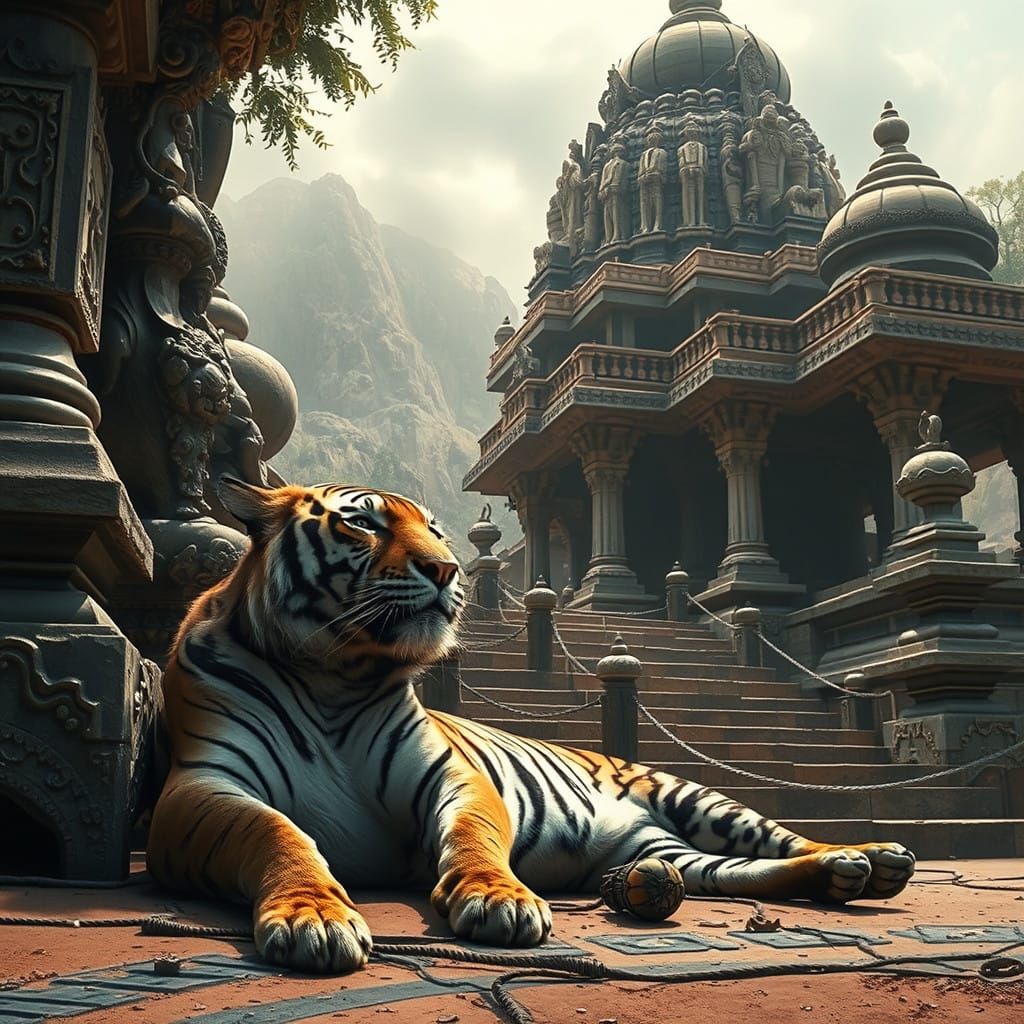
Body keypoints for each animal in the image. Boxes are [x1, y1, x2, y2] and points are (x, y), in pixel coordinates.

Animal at [148, 477, 917, 973]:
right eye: (363, 523)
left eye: (435, 530)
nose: (446, 569)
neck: (336, 674)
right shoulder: (202, 788)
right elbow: (277, 831)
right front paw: (315, 914)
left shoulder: (453, 778)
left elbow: (474, 836)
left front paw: (499, 899)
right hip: (674, 853)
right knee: (742, 872)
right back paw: (845, 876)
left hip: (698, 798)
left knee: (786, 839)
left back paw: (870, 857)